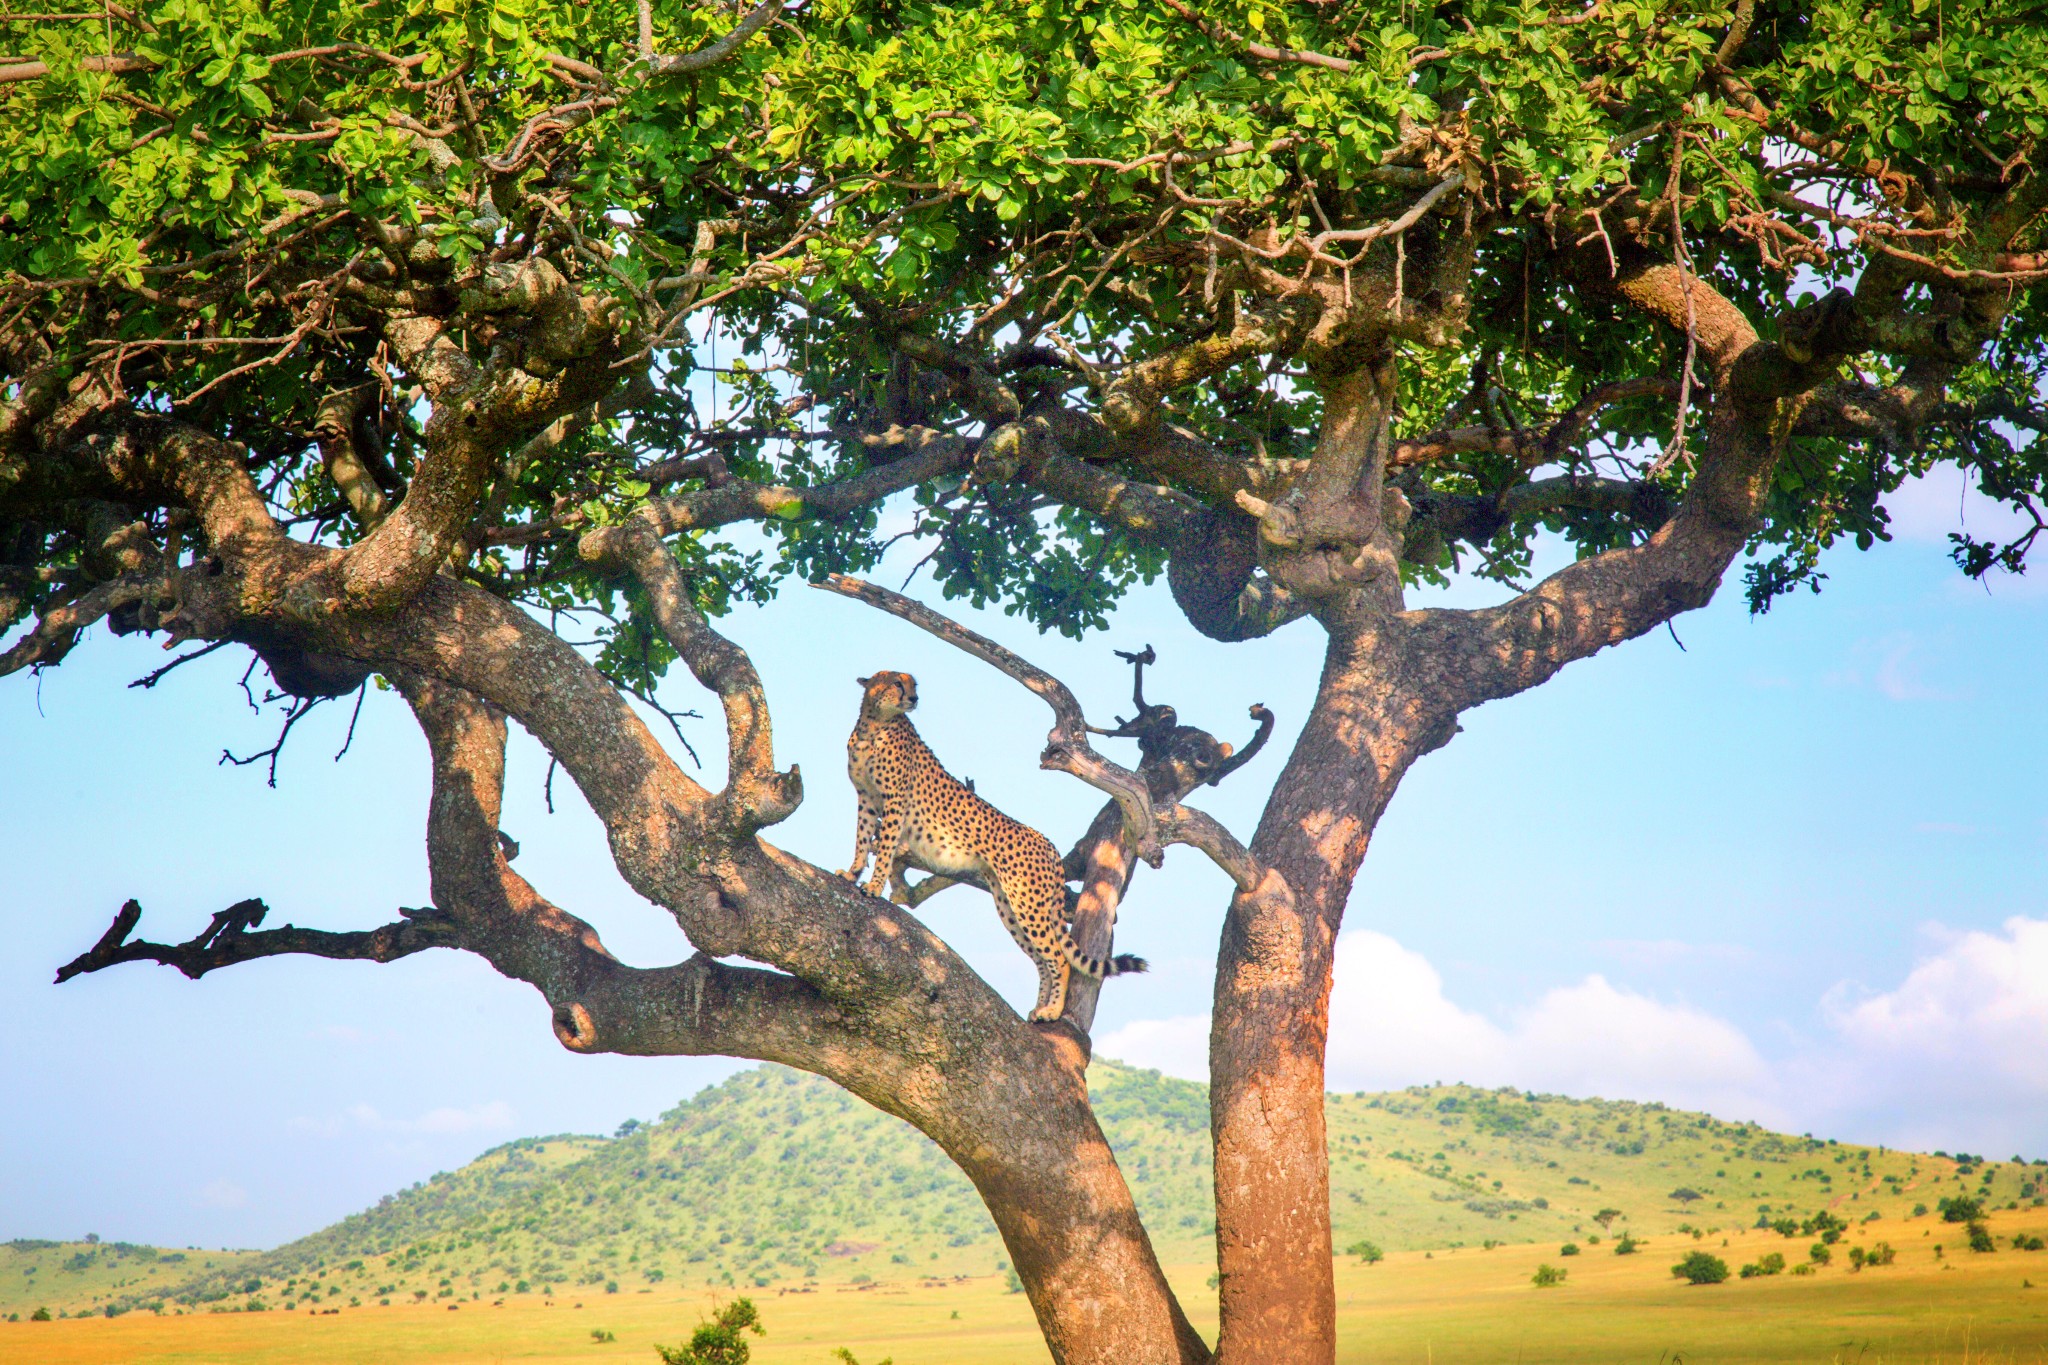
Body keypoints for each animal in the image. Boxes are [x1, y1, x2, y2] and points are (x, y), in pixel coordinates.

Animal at [835, 671, 1155, 1023]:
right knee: (1041, 960)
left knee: (1058, 958)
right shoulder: (866, 797)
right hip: (1010, 906)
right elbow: (861, 838)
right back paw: (1038, 1009)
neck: (873, 723)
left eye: (913, 684)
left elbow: (885, 848)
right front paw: (851, 873)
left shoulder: (894, 801)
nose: (914, 698)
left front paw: (873, 886)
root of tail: (1049, 844)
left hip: (1028, 904)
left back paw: (1051, 1011)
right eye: (896, 683)